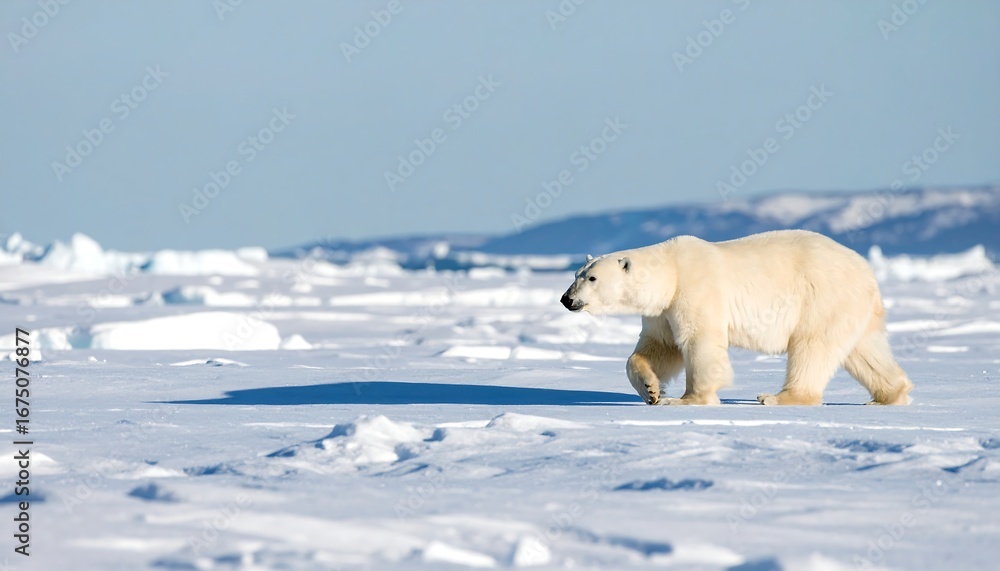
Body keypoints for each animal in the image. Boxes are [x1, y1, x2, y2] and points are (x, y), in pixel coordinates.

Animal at [559, 229, 913, 406]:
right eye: (576, 274)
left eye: (592, 278)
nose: (566, 299)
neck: (671, 268)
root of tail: (868, 272)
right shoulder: (662, 310)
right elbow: (659, 346)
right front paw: (651, 389)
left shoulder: (695, 289)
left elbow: (698, 341)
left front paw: (690, 399)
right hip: (852, 308)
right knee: (864, 350)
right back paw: (890, 396)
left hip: (823, 297)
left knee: (812, 347)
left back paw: (778, 397)